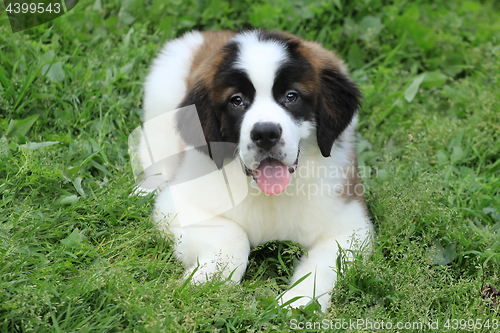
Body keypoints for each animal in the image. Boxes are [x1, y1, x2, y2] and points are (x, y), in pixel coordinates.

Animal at [135, 29, 374, 310]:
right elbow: (233, 235)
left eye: (291, 96)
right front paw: (206, 281)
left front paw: (298, 302)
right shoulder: (178, 202)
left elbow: (324, 267)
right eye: (237, 101)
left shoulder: (351, 227)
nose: (265, 134)